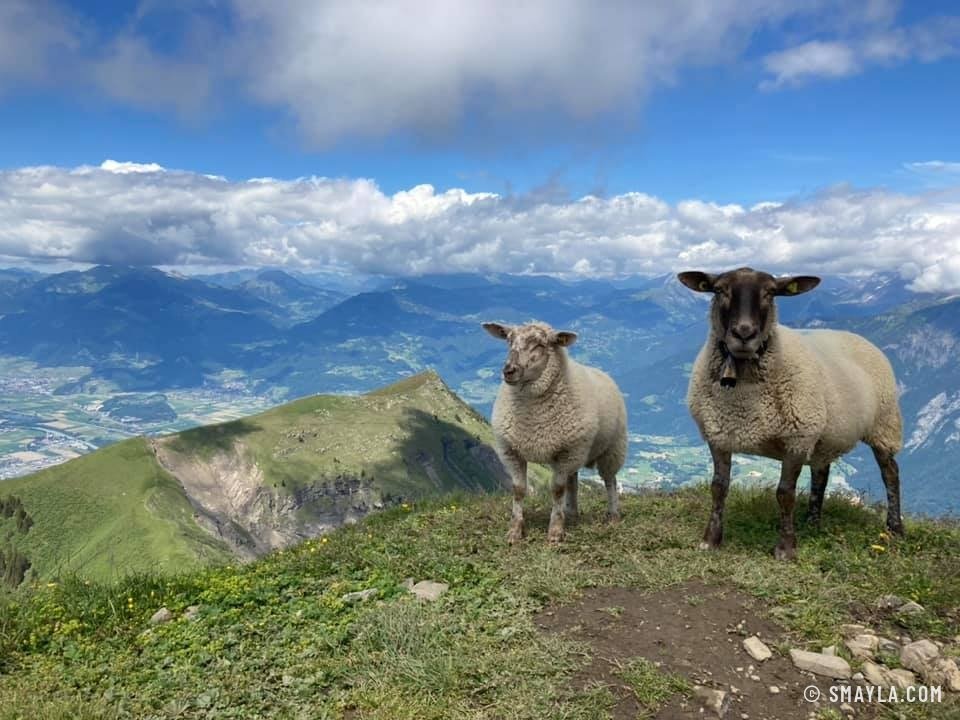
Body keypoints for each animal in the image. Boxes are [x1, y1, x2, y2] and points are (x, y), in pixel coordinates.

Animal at [482, 321, 628, 544]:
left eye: (541, 344)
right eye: (508, 340)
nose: (509, 370)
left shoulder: (567, 452)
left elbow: (557, 489)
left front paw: (555, 532)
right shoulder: (511, 451)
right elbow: (519, 489)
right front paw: (515, 531)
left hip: (610, 448)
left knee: (610, 480)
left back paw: (612, 516)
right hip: (574, 451)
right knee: (573, 480)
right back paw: (571, 512)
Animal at [678, 267, 904, 561]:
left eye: (770, 292)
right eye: (720, 290)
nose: (744, 333)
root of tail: (856, 336)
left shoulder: (797, 438)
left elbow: (785, 493)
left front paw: (785, 548)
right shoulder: (718, 434)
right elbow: (718, 486)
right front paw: (710, 540)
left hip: (883, 425)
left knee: (890, 473)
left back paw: (895, 528)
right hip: (825, 433)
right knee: (821, 473)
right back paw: (812, 521)